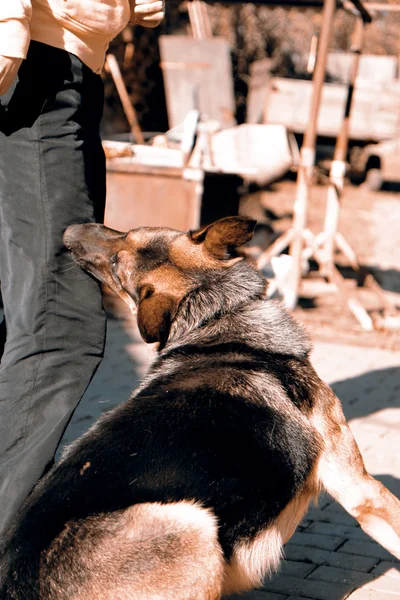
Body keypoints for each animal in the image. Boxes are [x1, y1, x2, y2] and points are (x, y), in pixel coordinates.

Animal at [0, 216, 400, 600]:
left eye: (126, 237)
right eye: (117, 264)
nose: (68, 232)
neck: (218, 315)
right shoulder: (361, 490)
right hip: (193, 522)